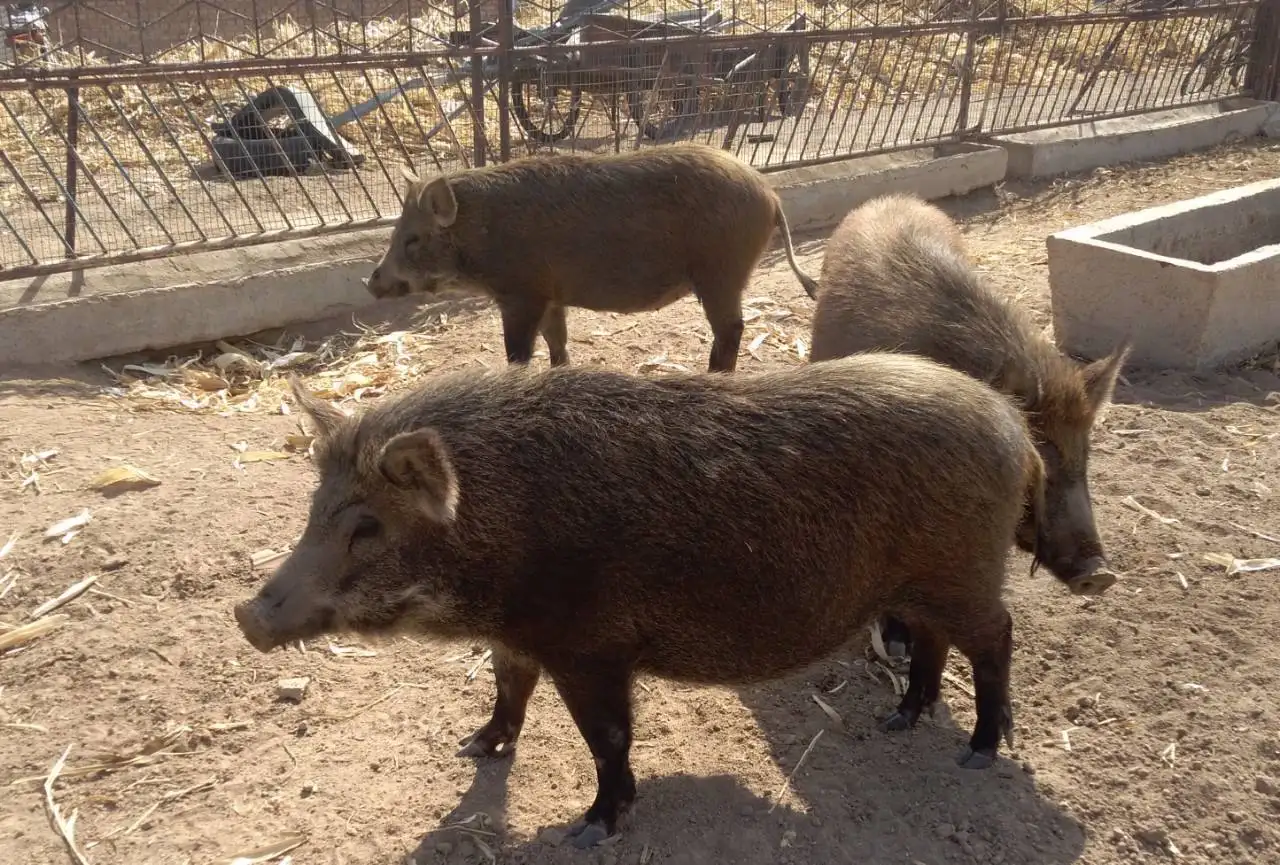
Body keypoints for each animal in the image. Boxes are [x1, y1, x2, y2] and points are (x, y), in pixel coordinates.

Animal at [235, 355, 1044, 849]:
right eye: (315, 508)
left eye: (367, 527)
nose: (247, 615)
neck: (503, 526)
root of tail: (1016, 429)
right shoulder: (519, 641)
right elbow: (507, 692)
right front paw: (475, 745)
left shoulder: (591, 651)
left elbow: (607, 739)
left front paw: (590, 830)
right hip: (925, 585)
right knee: (934, 644)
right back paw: (898, 720)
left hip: (964, 574)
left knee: (997, 637)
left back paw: (979, 752)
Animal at [366, 142, 814, 371]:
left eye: (413, 239)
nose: (371, 281)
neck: (481, 233)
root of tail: (771, 194)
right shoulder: (550, 295)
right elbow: (557, 343)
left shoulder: (521, 295)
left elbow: (517, 354)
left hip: (721, 274)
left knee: (732, 328)